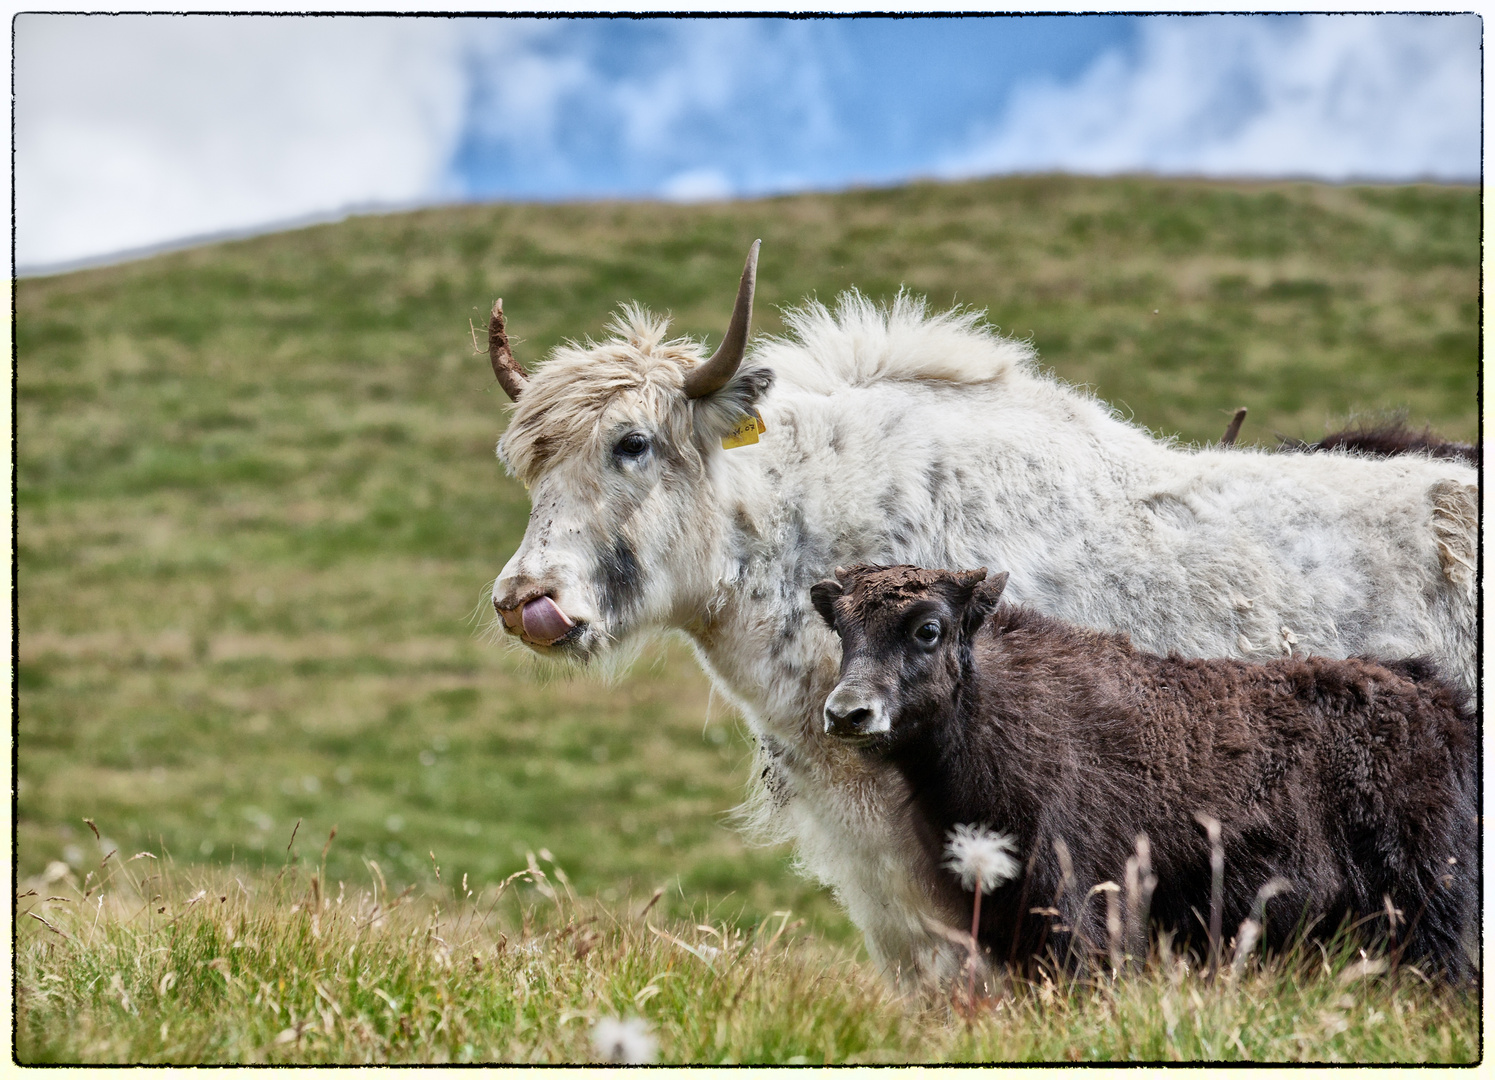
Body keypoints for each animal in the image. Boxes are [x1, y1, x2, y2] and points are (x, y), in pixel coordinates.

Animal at [813, 562, 1477, 975]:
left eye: (929, 628)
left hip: (1421, 906)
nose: (847, 713)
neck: (986, 710)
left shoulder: (1075, 904)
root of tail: (1442, 702)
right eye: (842, 630)